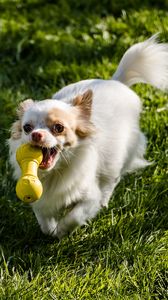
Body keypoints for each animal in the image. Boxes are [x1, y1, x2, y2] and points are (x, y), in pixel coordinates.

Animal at [8, 35, 168, 238]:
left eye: (58, 128)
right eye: (27, 128)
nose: (36, 134)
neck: (55, 172)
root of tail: (116, 81)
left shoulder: (89, 197)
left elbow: (75, 216)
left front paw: (61, 231)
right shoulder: (41, 199)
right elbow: (43, 220)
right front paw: (51, 230)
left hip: (118, 158)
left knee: (110, 181)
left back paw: (105, 201)